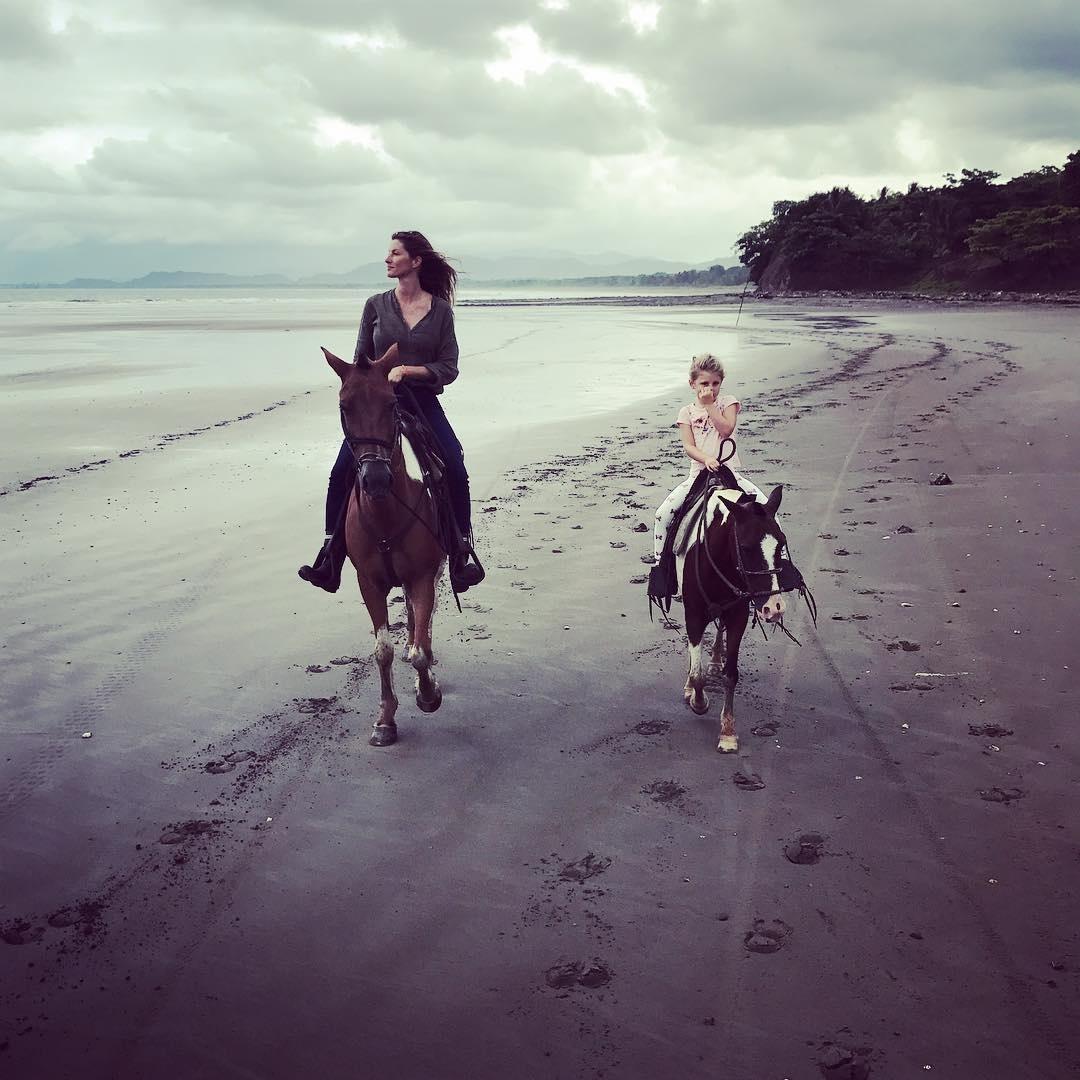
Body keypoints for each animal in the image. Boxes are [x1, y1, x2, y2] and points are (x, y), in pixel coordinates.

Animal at [317, 343, 444, 743]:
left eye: (391, 404)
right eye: (344, 406)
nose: (375, 479)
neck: (385, 514)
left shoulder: (422, 576)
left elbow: (421, 647)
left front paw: (428, 694)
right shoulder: (369, 582)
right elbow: (382, 650)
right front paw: (385, 720)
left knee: (425, 623)